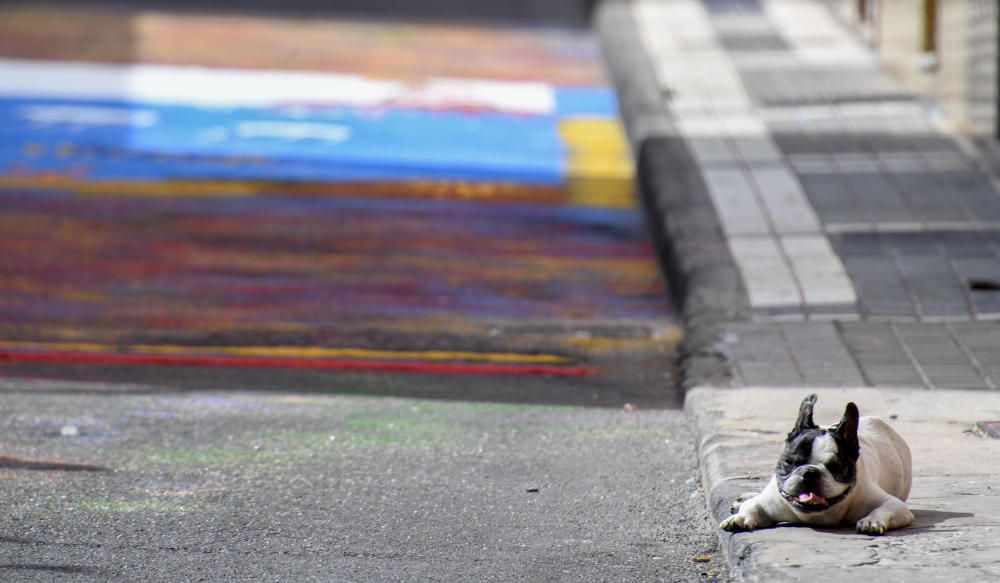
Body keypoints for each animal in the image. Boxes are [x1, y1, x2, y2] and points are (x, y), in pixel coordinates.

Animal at [720, 394, 916, 536]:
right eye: (790, 462)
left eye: (837, 467)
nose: (810, 472)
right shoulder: (767, 502)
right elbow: (751, 506)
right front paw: (739, 518)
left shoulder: (895, 505)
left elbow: (885, 508)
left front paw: (872, 521)